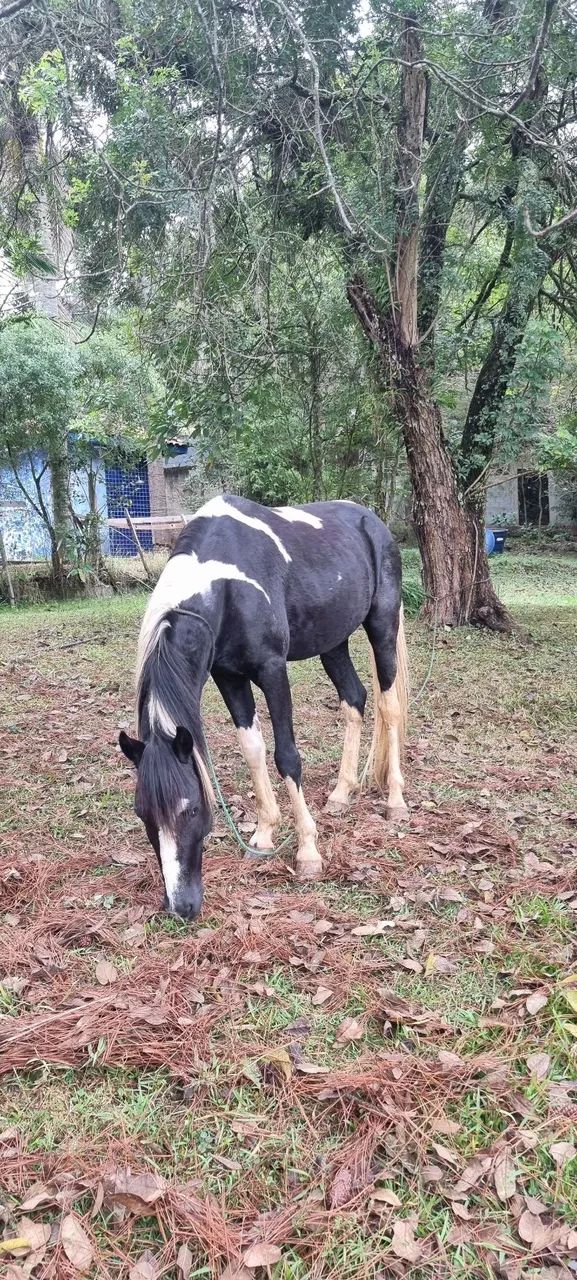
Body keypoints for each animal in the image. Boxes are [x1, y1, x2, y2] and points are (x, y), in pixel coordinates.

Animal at [119, 494, 408, 920]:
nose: (180, 905)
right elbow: (253, 749)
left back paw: (395, 801)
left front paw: (308, 852)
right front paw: (264, 832)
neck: (225, 585)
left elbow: (286, 756)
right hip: (333, 642)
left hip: (382, 627)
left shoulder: (272, 671)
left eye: (191, 810)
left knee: (389, 708)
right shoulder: (229, 677)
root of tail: (371, 520)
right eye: (143, 814)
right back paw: (341, 793)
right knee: (354, 700)